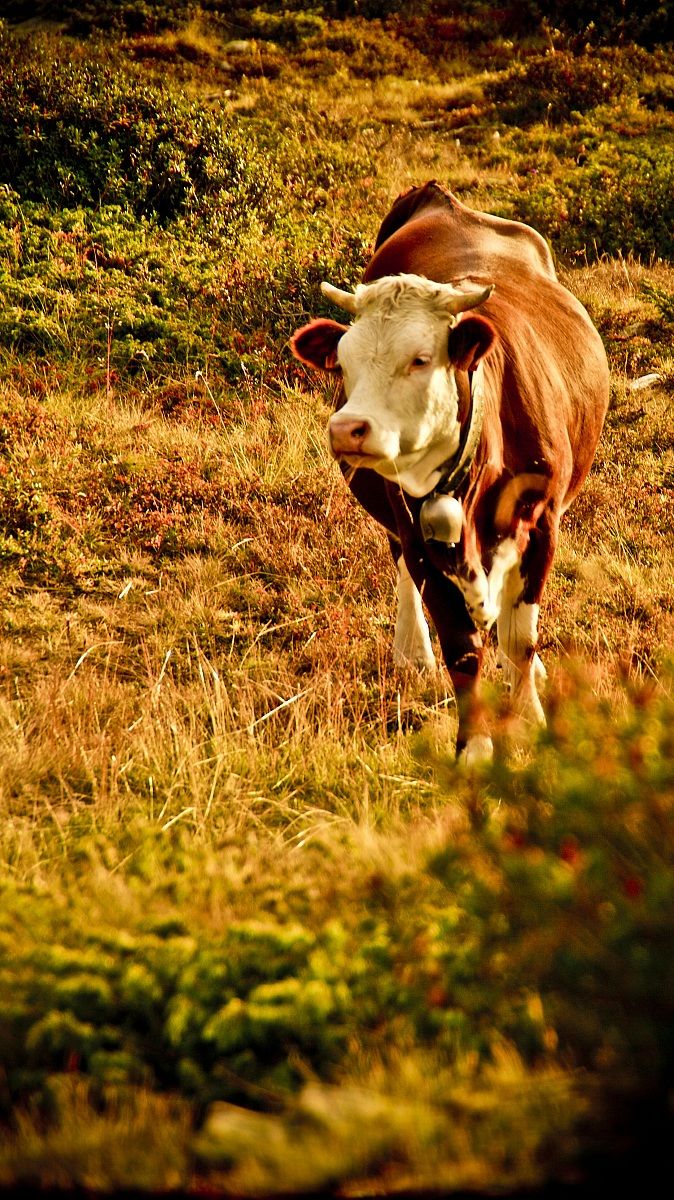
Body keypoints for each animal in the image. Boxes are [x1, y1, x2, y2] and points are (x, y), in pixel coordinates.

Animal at [290, 181, 610, 763]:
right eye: (343, 363)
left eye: (420, 358)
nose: (347, 428)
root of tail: (441, 197)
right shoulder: (418, 534)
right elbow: (461, 648)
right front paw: (474, 750)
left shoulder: (543, 525)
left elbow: (519, 637)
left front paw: (531, 717)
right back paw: (412, 651)